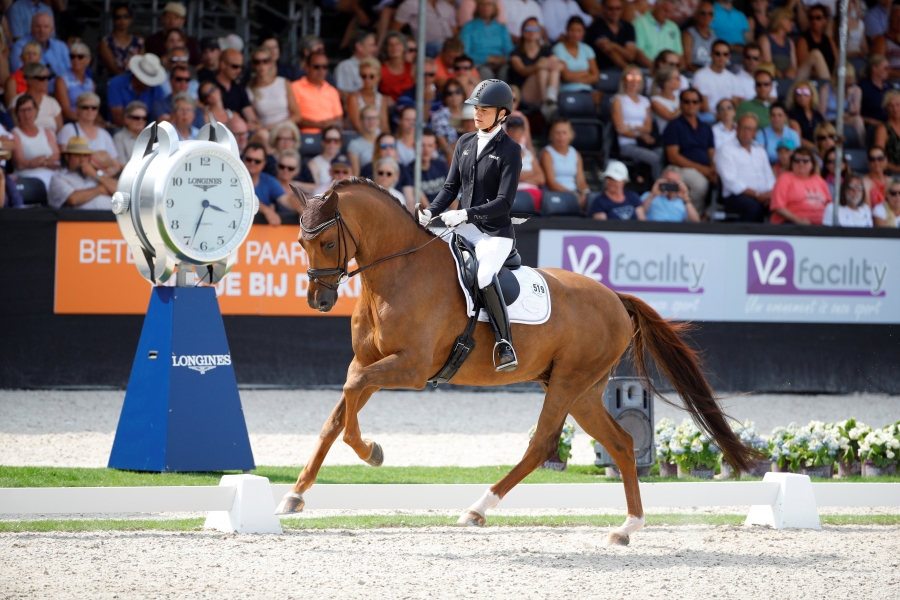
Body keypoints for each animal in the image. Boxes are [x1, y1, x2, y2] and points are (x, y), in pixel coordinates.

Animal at [276, 178, 758, 546]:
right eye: (300, 242)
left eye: (328, 241)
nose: (318, 301)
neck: (397, 274)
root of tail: (615, 298)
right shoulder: (371, 362)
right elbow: (338, 414)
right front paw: (296, 495)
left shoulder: (410, 369)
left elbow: (351, 397)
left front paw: (371, 452)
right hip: (581, 391)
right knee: (620, 443)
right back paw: (627, 527)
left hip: (568, 383)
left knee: (542, 444)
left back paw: (477, 508)